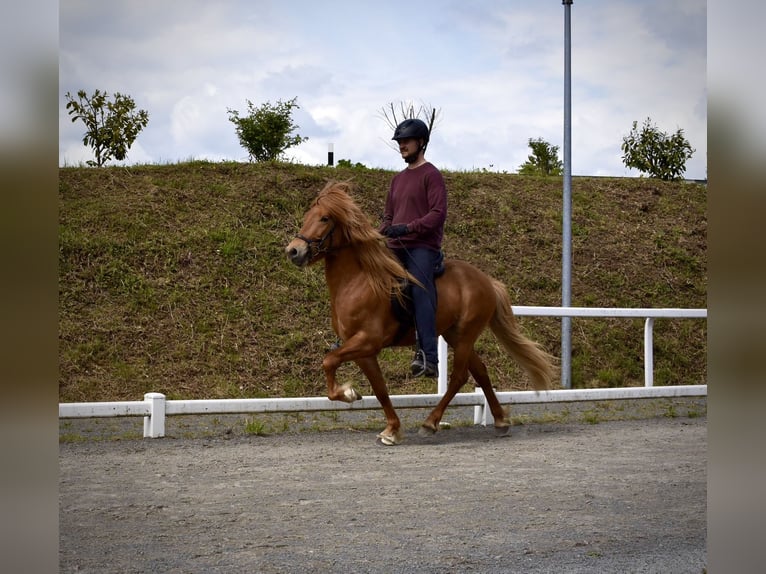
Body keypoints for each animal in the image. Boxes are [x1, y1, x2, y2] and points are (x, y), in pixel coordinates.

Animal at [285, 180, 557, 445]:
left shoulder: (368, 341)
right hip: (454, 335)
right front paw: (391, 429)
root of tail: (487, 280)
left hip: (465, 335)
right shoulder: (362, 350)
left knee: (459, 377)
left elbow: (329, 361)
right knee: (480, 371)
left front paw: (348, 393)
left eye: (324, 218)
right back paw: (500, 421)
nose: (293, 250)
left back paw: (431, 423)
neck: (358, 281)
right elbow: (379, 387)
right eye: (307, 216)